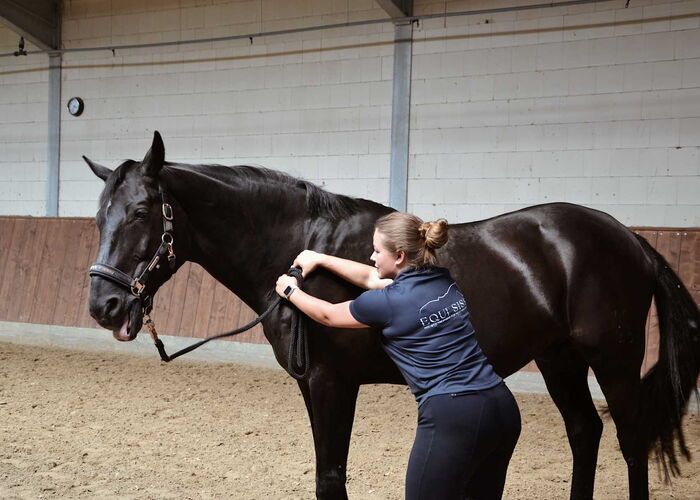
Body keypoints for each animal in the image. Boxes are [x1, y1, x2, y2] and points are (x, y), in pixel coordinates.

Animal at [85, 131, 699, 500]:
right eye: (98, 217)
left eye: (141, 211)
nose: (103, 305)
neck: (298, 247)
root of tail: (630, 239)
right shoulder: (312, 386)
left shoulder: (333, 384)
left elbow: (331, 478)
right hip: (559, 360)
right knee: (585, 432)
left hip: (613, 360)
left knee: (631, 442)